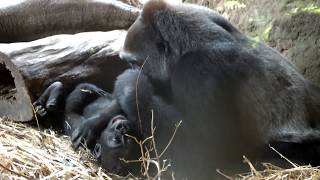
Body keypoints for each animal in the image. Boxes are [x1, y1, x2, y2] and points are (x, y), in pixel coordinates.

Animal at [119, 0, 320, 179]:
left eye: (133, 62)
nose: (129, 68)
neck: (187, 41)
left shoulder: (196, 69)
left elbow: (202, 152)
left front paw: (131, 86)